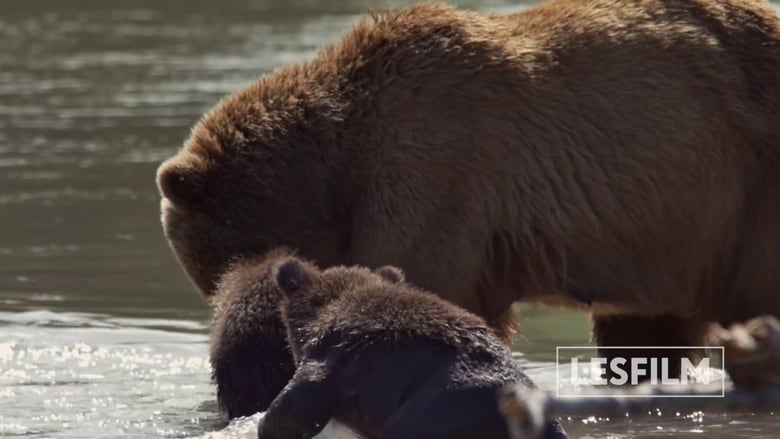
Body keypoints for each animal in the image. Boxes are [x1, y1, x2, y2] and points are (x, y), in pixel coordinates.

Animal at [157, 0, 780, 406]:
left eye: (209, 268)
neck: (334, 167)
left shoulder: (432, 172)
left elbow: (423, 288)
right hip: (676, 230)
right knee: (647, 332)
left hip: (742, 190)